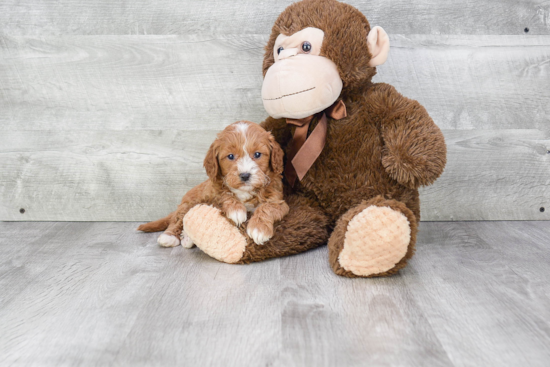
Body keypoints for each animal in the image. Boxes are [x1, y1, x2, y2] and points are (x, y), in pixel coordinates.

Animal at [138, 121, 292, 247]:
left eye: (258, 154)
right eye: (230, 156)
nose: (245, 175)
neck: (245, 192)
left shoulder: (279, 201)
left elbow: (267, 207)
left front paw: (259, 229)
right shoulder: (211, 191)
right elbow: (224, 193)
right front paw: (236, 210)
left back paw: (187, 239)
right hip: (189, 202)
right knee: (177, 219)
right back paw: (169, 237)